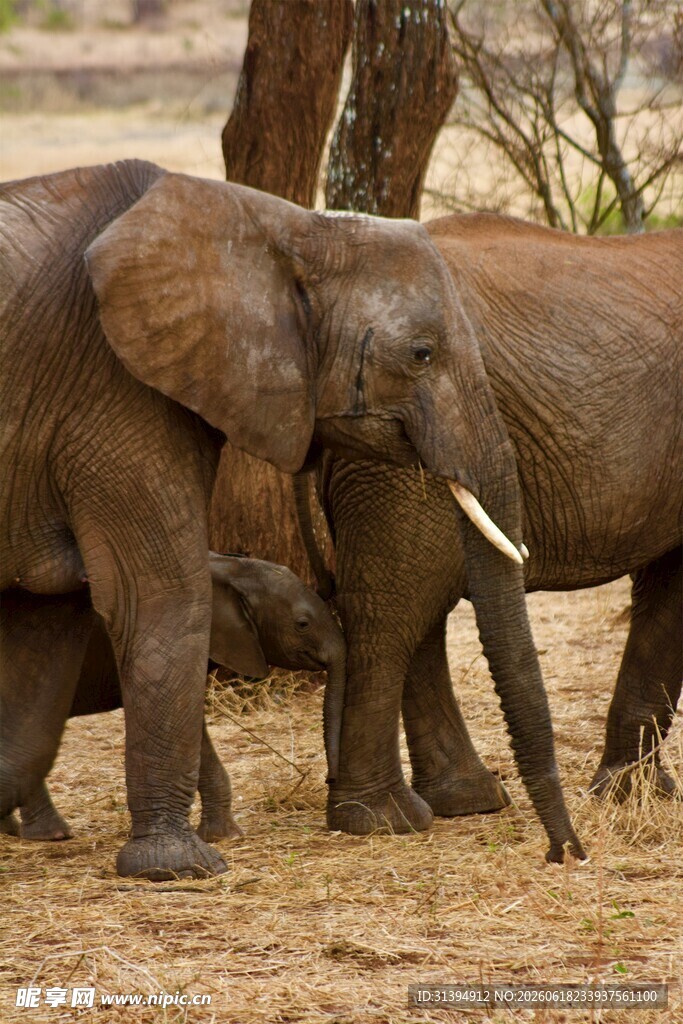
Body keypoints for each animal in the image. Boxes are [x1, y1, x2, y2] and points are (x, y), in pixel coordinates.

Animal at [0, 553, 345, 844]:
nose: (330, 779)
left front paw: (222, 836)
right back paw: (52, 835)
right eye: (302, 624)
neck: (231, 569)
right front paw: (225, 838)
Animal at [307, 213, 682, 852]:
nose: (568, 855)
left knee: (418, 611)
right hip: (401, 454)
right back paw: (383, 819)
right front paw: (634, 798)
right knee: (392, 612)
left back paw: (465, 800)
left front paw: (632, 796)